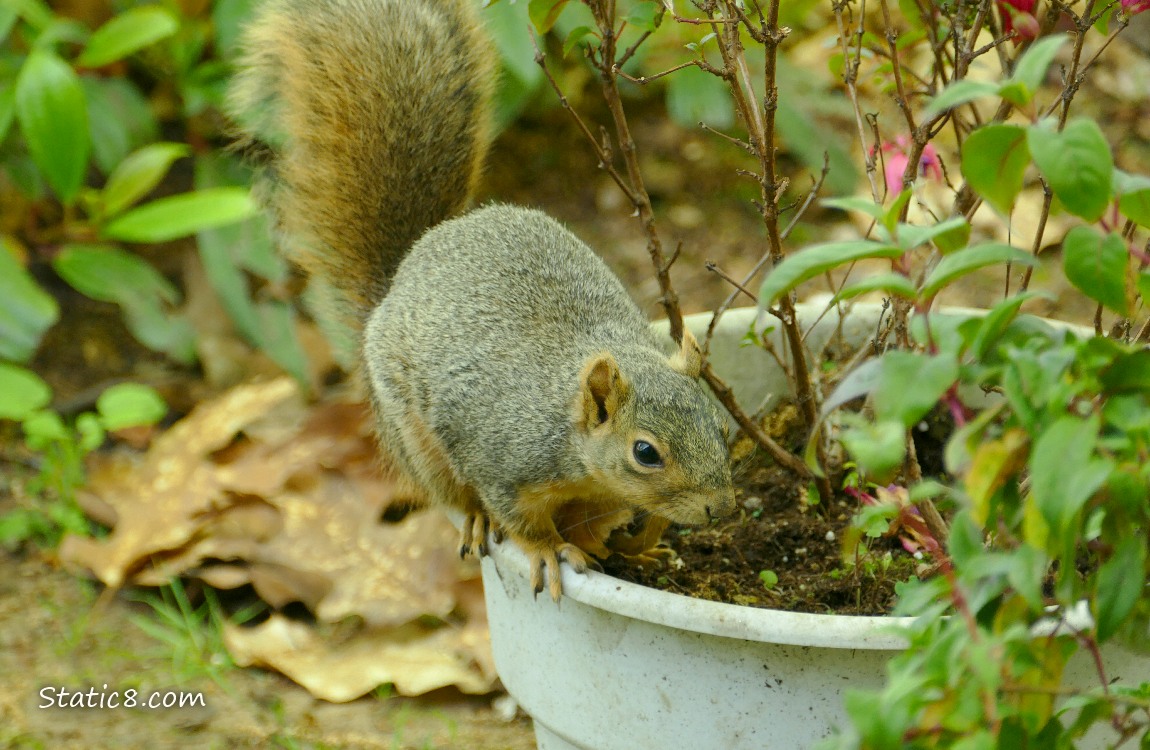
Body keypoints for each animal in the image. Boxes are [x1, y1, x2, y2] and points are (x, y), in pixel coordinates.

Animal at [228, 0, 736, 600]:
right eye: (646, 453)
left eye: (721, 424)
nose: (720, 509)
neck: (571, 442)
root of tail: (407, 267)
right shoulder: (501, 463)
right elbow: (520, 521)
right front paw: (548, 552)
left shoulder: (597, 497)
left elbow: (594, 525)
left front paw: (616, 545)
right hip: (415, 440)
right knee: (454, 495)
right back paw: (473, 520)